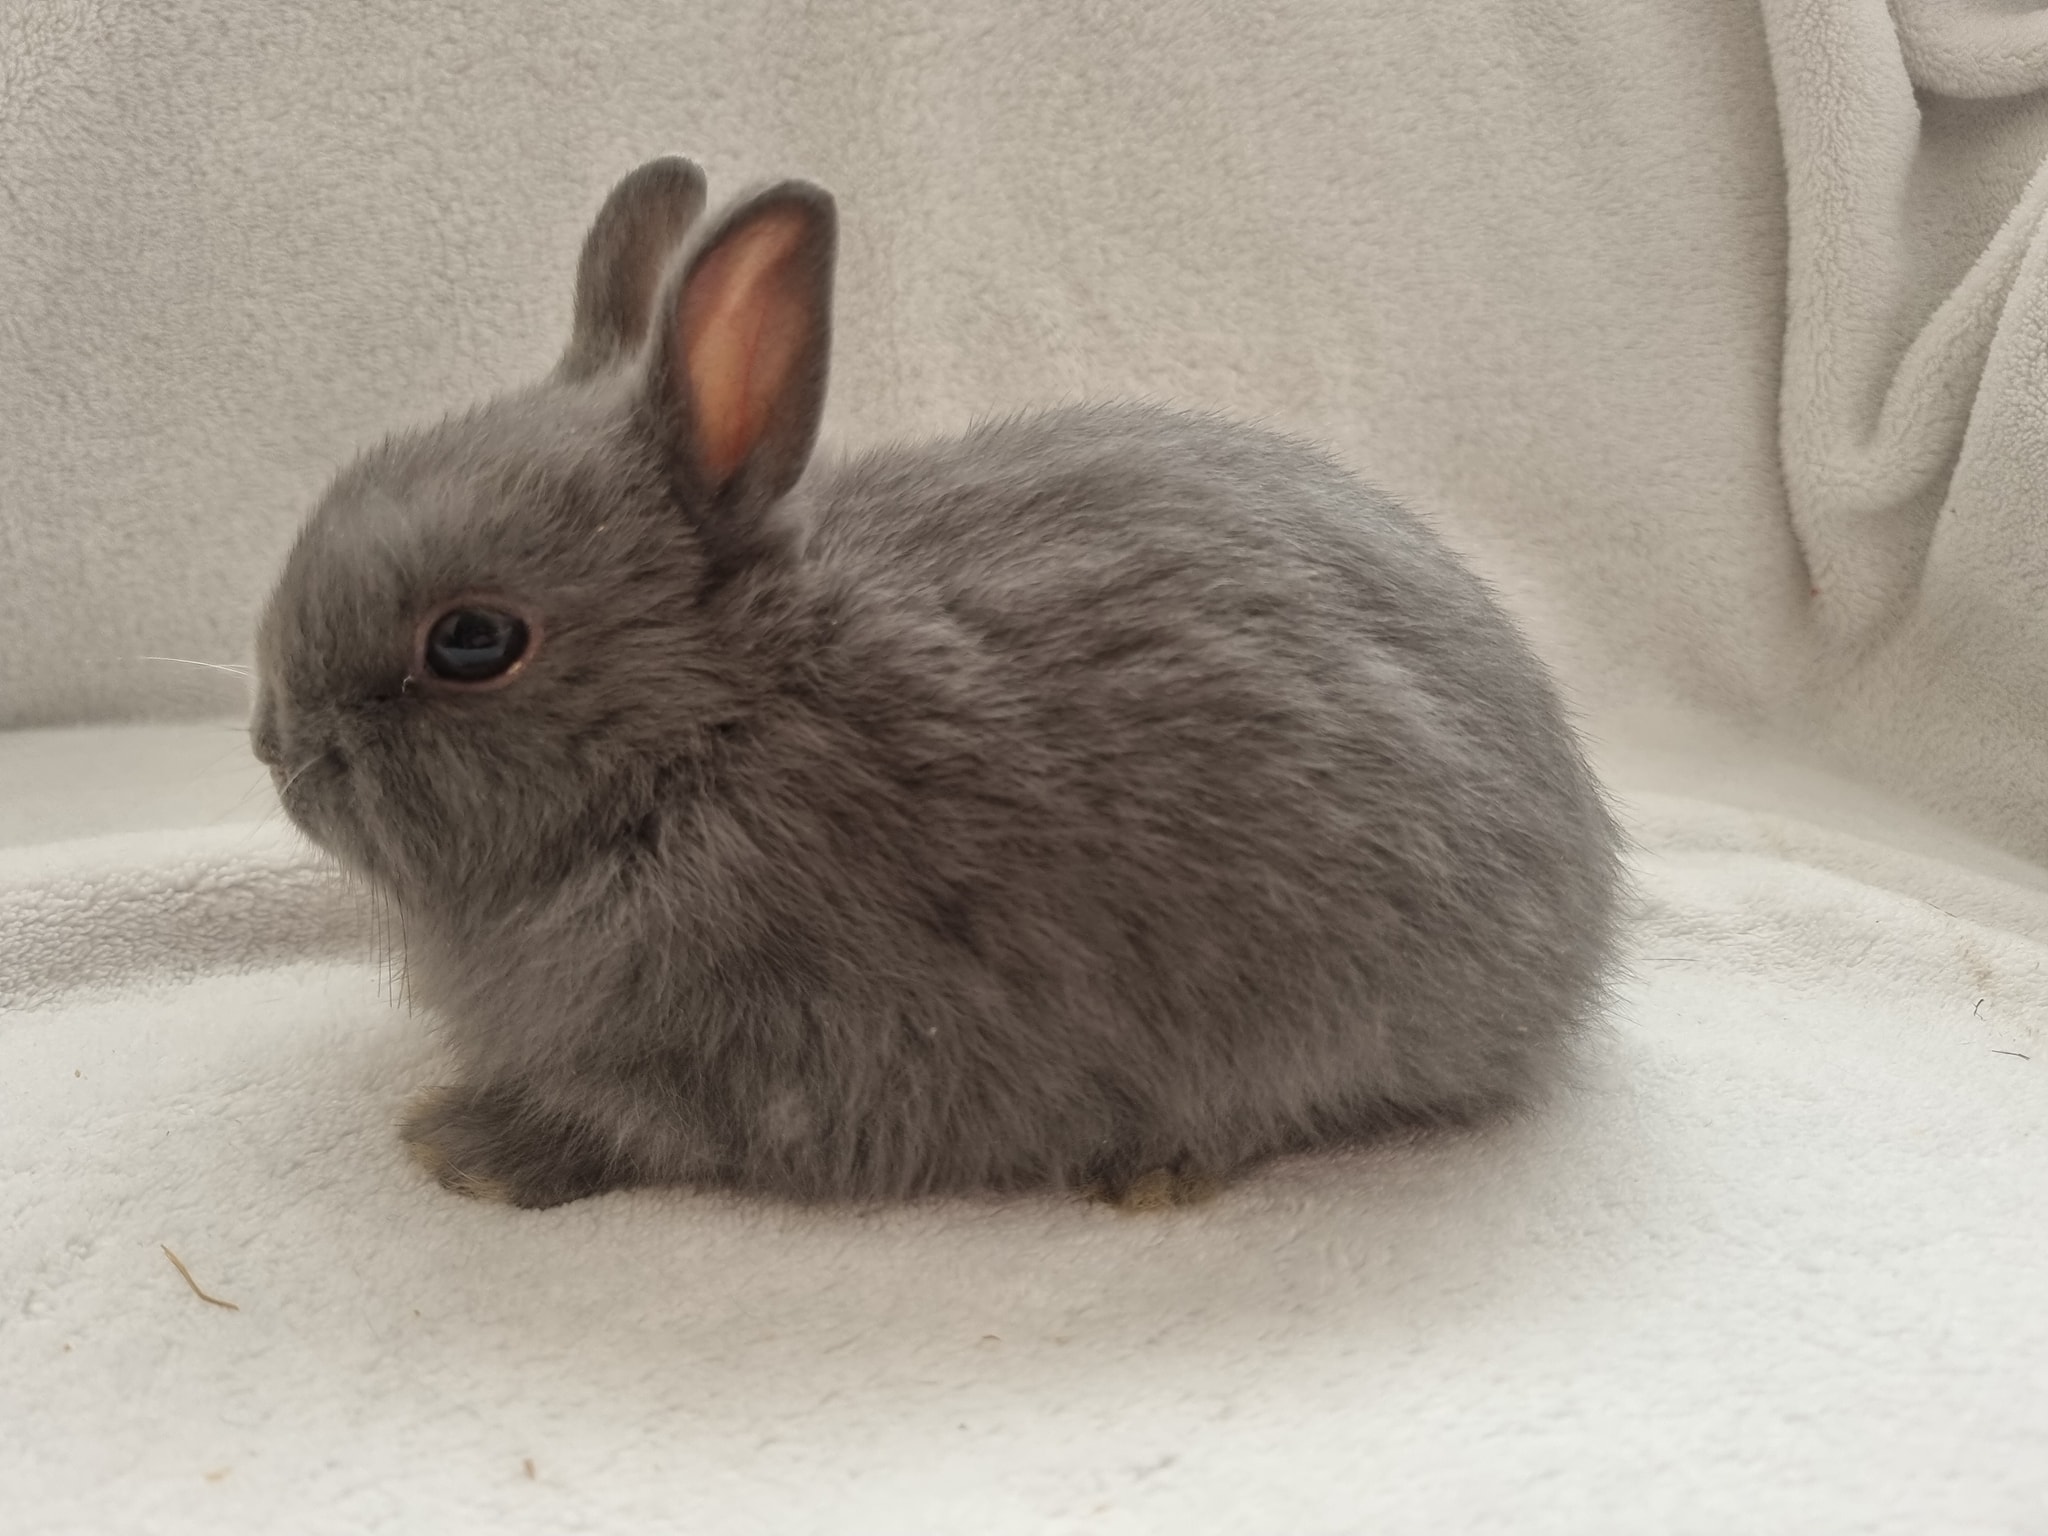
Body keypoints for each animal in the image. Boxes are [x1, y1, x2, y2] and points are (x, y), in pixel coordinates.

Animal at [251, 156, 1624, 1209]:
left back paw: (1150, 1174)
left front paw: (465, 1149)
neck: (716, 723)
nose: (277, 750)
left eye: (472, 642)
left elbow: (629, 1127)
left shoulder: (762, 1059)